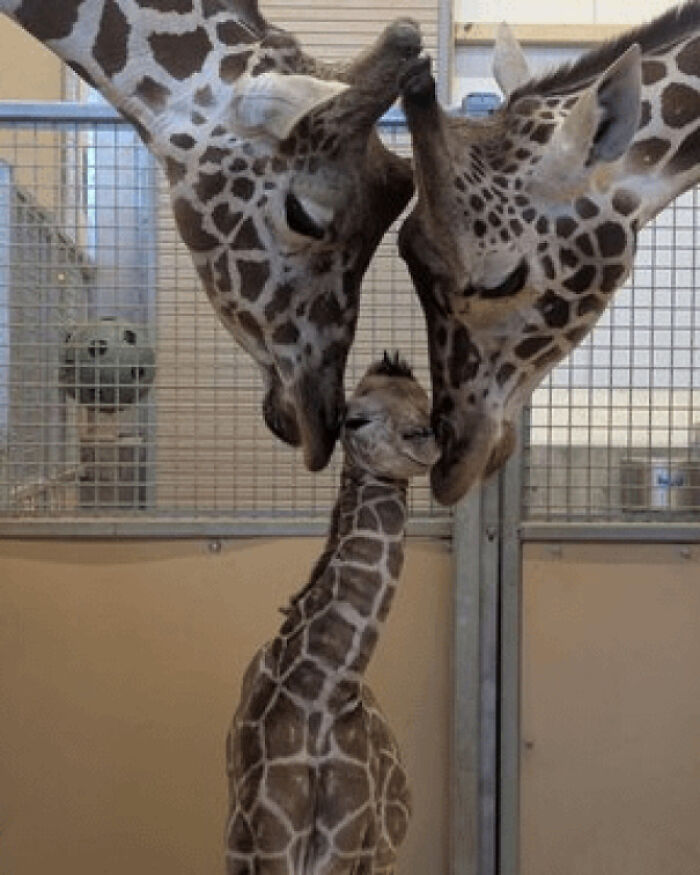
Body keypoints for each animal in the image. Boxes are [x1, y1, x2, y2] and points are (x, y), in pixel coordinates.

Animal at [225, 352, 438, 875]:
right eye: (355, 419)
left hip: (382, 855)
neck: (322, 690)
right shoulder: (271, 841)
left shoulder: (345, 844)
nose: (424, 439)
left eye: (427, 405)